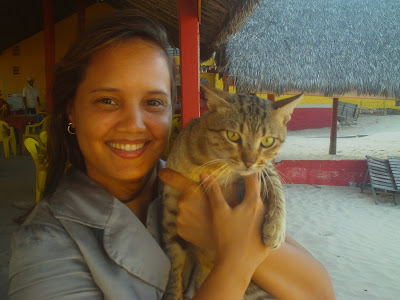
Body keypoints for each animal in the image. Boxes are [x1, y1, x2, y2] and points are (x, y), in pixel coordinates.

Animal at [161, 84, 302, 300]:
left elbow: (276, 185)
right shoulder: (170, 208)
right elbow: (174, 261)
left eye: (268, 141)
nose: (249, 162)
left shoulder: (263, 169)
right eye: (233, 136)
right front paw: (173, 293)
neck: (215, 167)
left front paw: (276, 229)